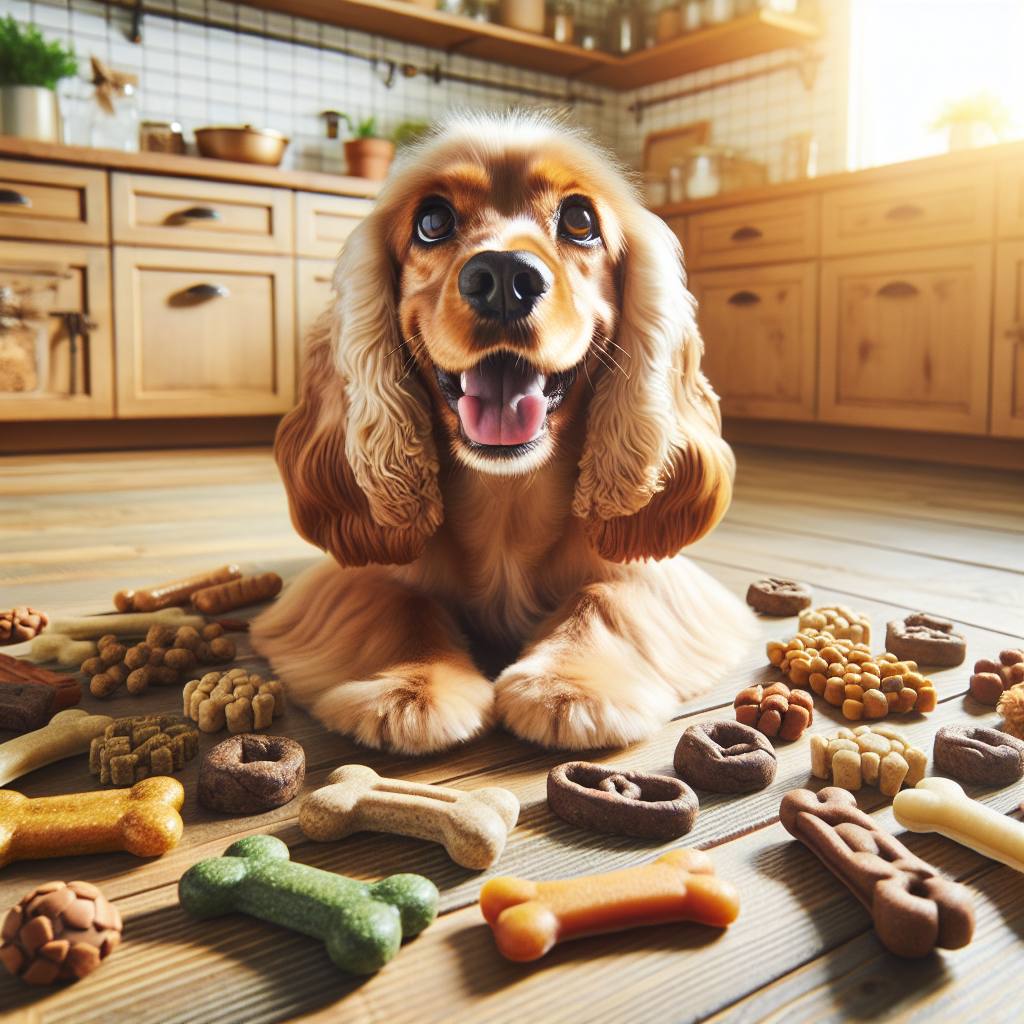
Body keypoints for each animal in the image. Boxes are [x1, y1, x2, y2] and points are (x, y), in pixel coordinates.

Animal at [251, 112, 757, 757]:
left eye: (580, 220)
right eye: (433, 220)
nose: (504, 277)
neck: (506, 497)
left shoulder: (663, 577)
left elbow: (606, 596)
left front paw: (569, 687)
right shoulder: (343, 578)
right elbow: (397, 599)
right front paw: (408, 690)